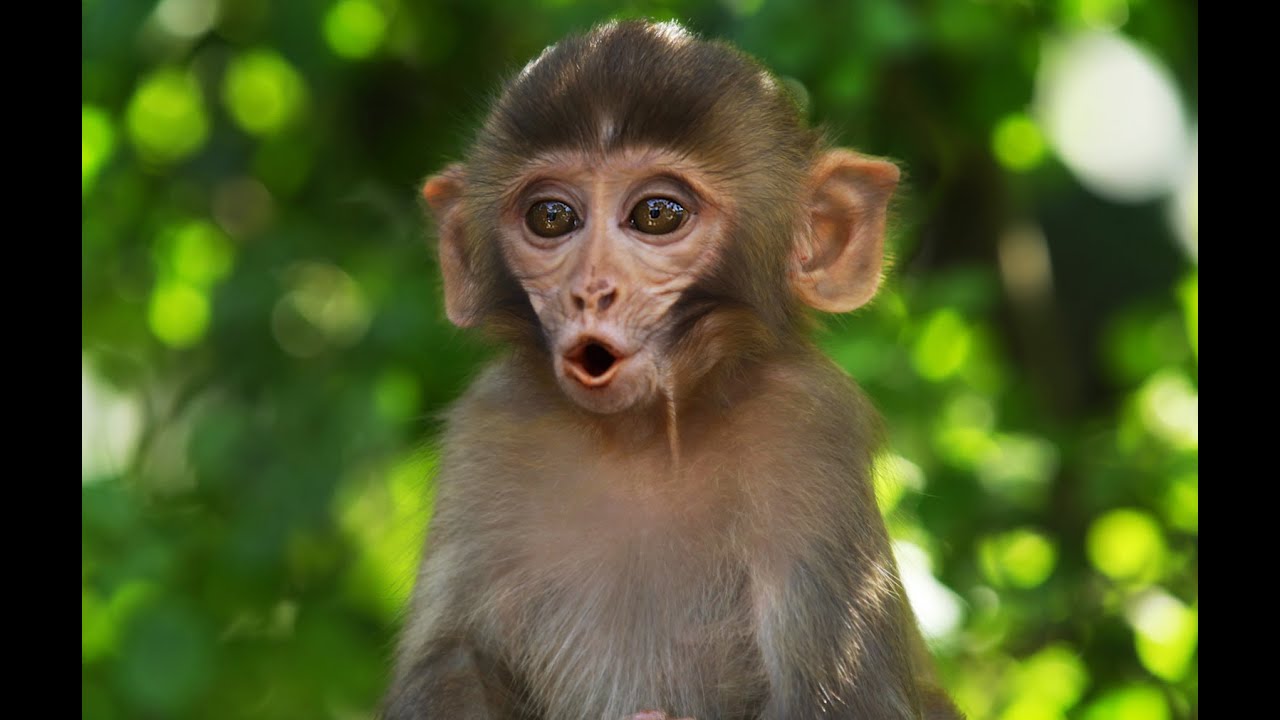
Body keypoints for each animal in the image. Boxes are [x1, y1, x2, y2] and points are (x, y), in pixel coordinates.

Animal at [382, 19, 963, 720]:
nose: (591, 292)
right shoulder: (490, 428)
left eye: (657, 214)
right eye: (552, 217)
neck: (642, 439)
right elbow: (449, 662)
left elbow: (840, 698)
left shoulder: (808, 427)